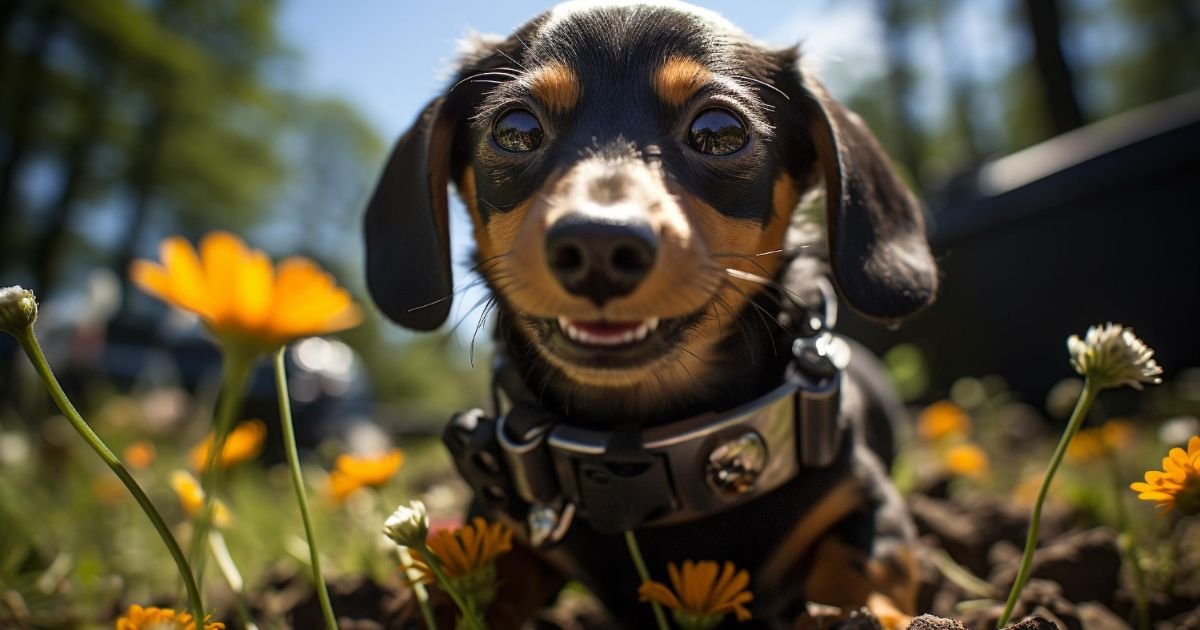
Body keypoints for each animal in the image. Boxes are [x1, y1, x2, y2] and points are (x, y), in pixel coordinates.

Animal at [362, 2, 936, 624]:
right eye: (516, 129)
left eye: (719, 131)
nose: (597, 247)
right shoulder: (497, 526)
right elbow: (460, 589)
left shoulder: (870, 507)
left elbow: (860, 572)